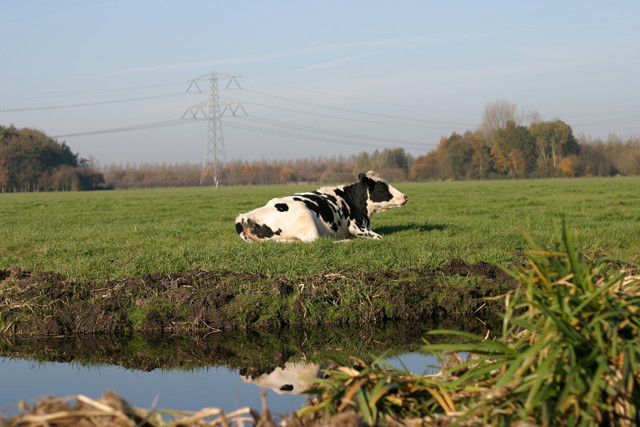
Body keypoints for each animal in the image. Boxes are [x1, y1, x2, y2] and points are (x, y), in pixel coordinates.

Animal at [236, 171, 410, 244]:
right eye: (382, 188)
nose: (405, 196)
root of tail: (246, 216)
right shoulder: (357, 227)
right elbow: (380, 237)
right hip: (307, 221)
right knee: (318, 241)